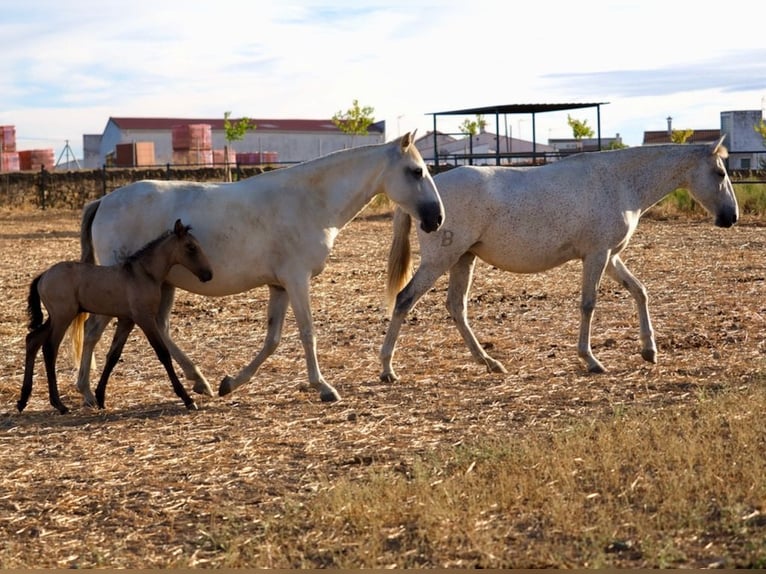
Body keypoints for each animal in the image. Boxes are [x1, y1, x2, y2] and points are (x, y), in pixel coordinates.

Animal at [18, 219, 213, 414]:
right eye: (191, 247)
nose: (208, 274)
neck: (143, 274)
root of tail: (43, 276)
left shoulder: (127, 321)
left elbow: (113, 356)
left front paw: (100, 397)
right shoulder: (144, 318)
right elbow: (163, 353)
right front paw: (187, 399)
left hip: (55, 318)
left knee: (33, 340)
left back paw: (23, 401)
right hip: (62, 317)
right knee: (49, 348)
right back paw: (59, 404)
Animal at [74, 132, 444, 406]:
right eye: (416, 171)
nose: (436, 218)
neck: (309, 202)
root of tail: (104, 201)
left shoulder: (279, 286)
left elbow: (272, 340)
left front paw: (230, 383)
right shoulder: (297, 280)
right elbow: (307, 333)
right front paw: (324, 387)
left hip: (164, 285)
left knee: (160, 328)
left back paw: (200, 382)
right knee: (93, 330)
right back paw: (87, 392)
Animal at [379, 138, 739, 382]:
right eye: (720, 172)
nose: (731, 216)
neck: (618, 182)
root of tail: (428, 198)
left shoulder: (610, 257)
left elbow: (639, 291)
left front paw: (649, 350)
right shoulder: (597, 256)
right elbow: (588, 304)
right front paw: (591, 360)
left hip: (463, 259)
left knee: (456, 307)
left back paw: (489, 363)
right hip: (440, 261)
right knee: (405, 299)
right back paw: (387, 368)